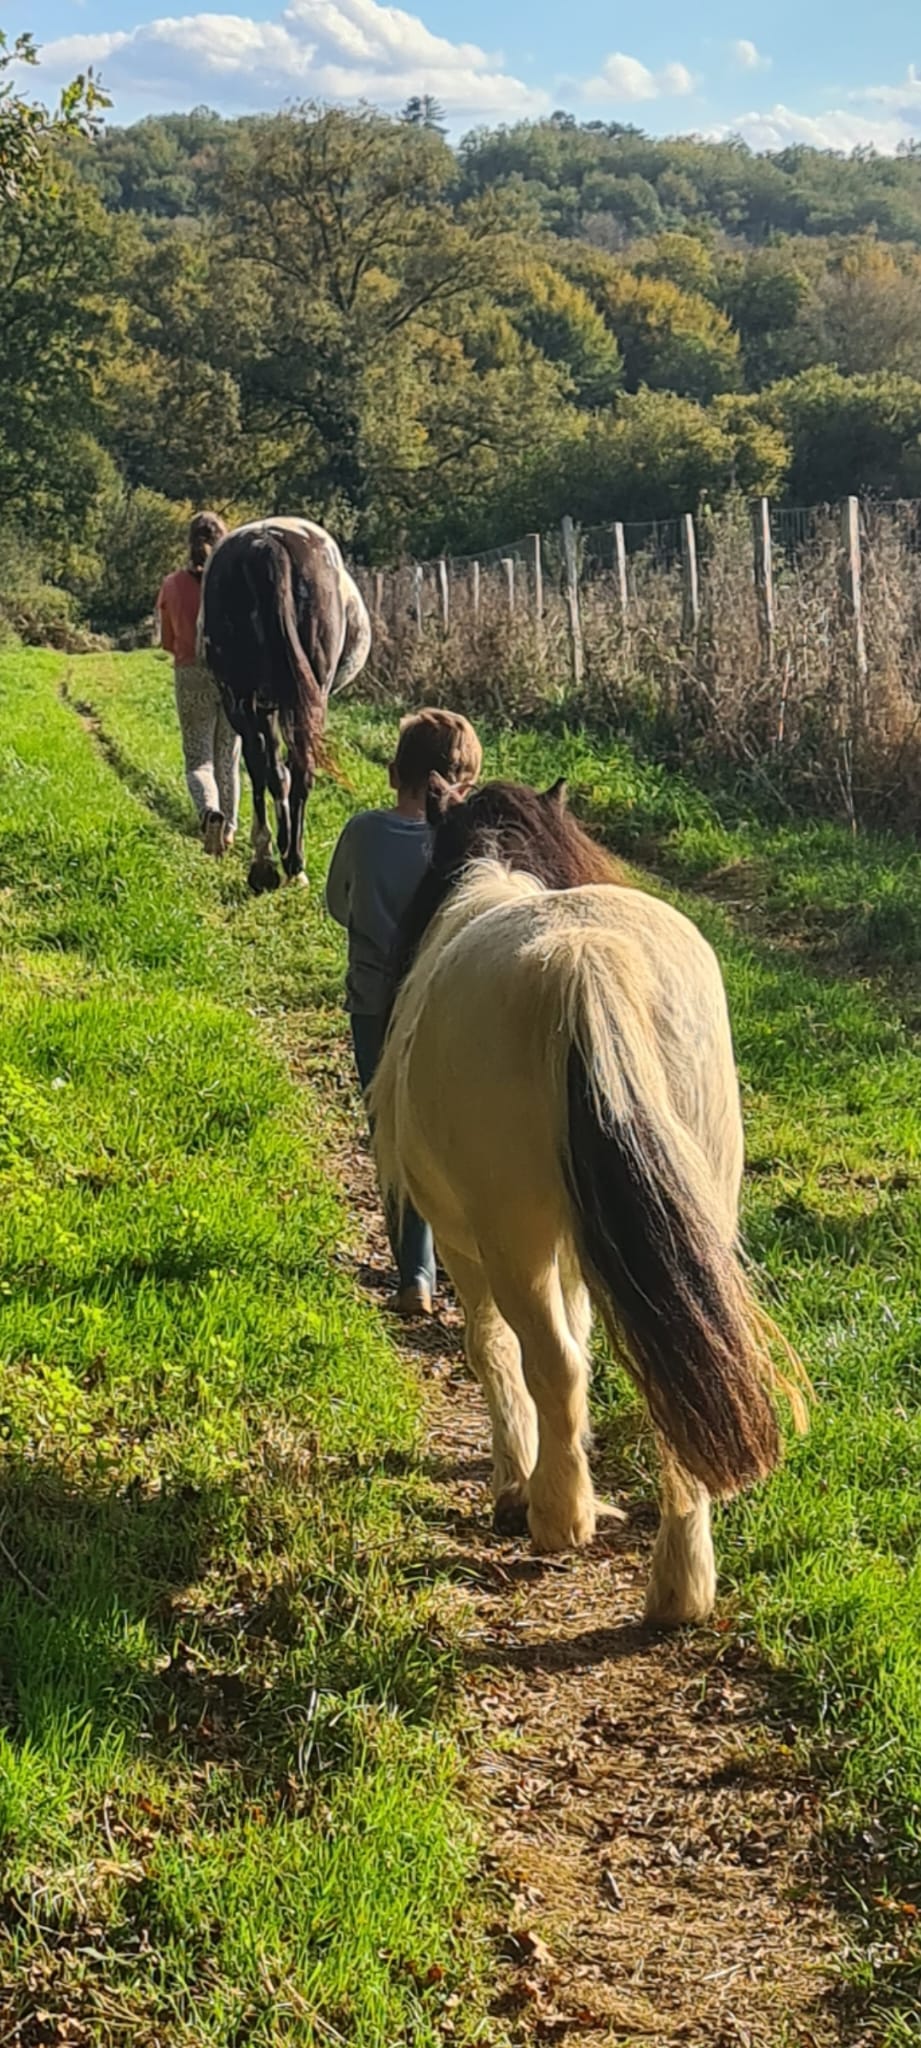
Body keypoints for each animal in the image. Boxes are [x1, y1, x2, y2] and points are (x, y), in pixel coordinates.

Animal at [199, 516, 371, 893]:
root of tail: (267, 546)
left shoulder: (262, 707)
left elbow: (271, 771)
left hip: (244, 700)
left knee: (271, 769)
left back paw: (270, 864)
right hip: (294, 700)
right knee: (296, 771)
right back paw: (290, 863)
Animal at [370, 777, 808, 1627]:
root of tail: (583, 961)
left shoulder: (467, 1244)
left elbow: (493, 1350)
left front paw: (514, 1481)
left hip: (512, 1241)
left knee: (552, 1360)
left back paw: (557, 1517)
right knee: (682, 1388)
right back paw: (678, 1588)